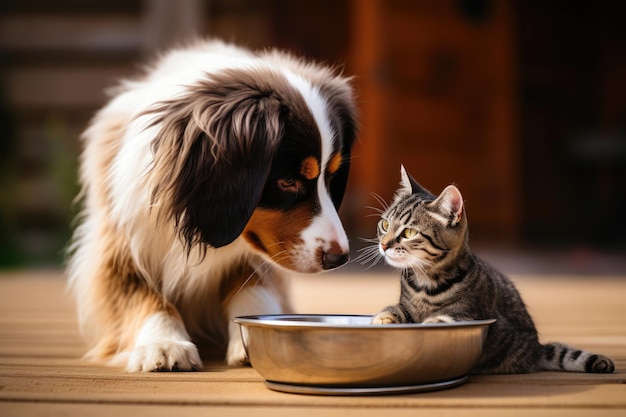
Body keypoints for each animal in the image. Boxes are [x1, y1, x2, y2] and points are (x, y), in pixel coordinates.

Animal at [67, 39, 356, 370]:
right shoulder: (117, 246)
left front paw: (247, 340)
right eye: (287, 181)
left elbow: (254, 284)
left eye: (332, 176)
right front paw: (164, 343)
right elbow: (140, 294)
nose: (339, 258)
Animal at [368, 166, 612, 374]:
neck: (425, 282)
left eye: (409, 232)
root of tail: (537, 349)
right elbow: (393, 309)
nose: (384, 245)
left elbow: (440, 321)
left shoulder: (466, 313)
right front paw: (382, 321)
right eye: (385, 225)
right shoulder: (405, 305)